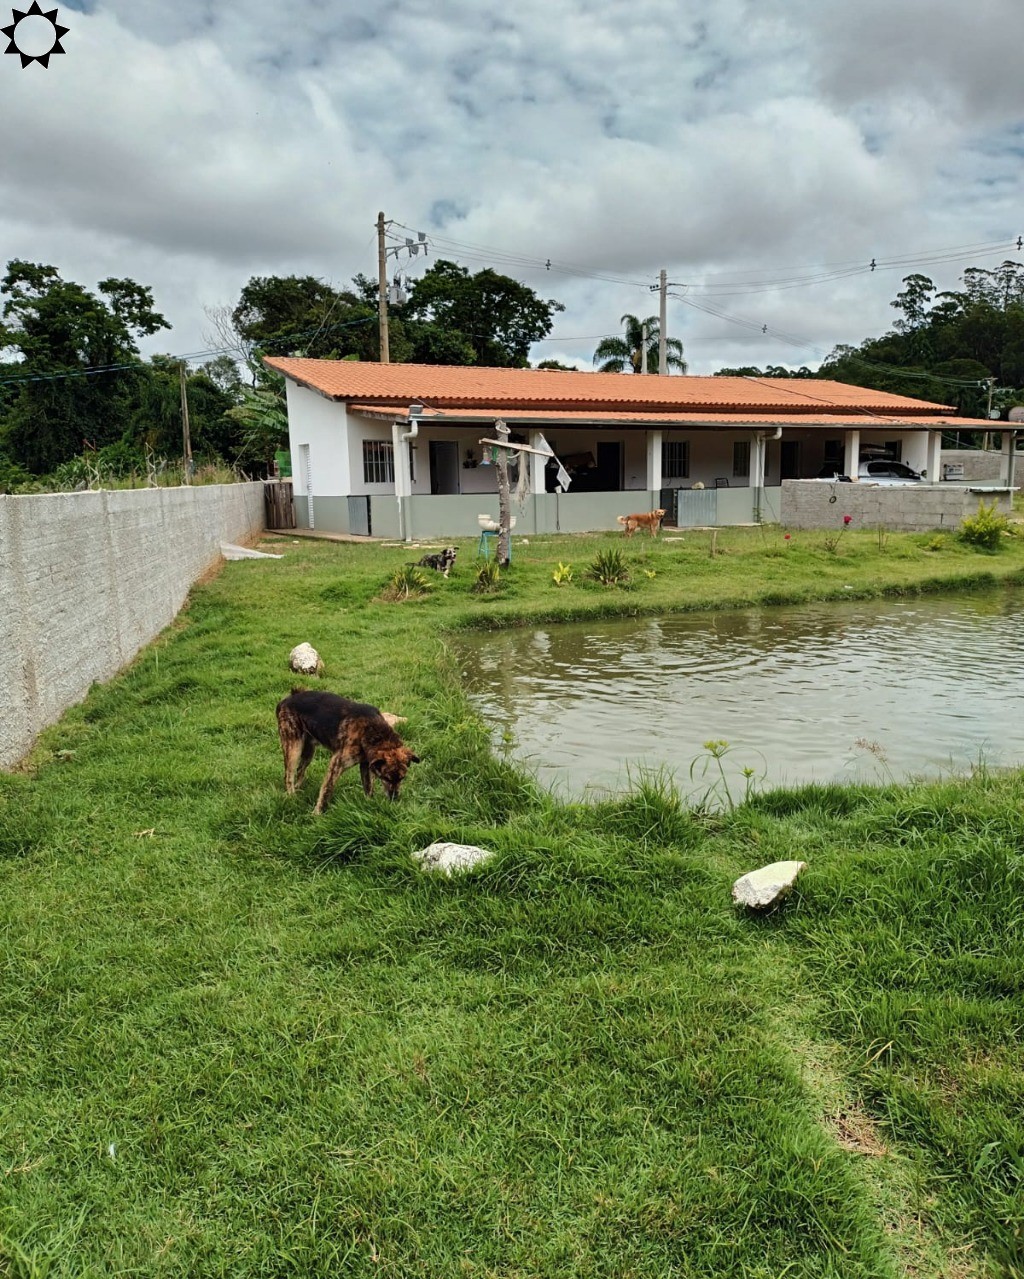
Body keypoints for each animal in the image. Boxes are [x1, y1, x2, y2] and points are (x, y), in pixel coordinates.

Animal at [276, 690, 419, 808]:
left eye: (402, 778)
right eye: (386, 778)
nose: (394, 798)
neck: (370, 730)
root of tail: (285, 700)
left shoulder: (365, 765)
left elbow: (368, 788)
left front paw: (369, 806)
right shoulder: (336, 764)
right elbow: (326, 791)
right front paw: (317, 814)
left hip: (308, 751)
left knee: (300, 770)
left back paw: (298, 790)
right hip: (293, 747)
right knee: (288, 776)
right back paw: (292, 797)